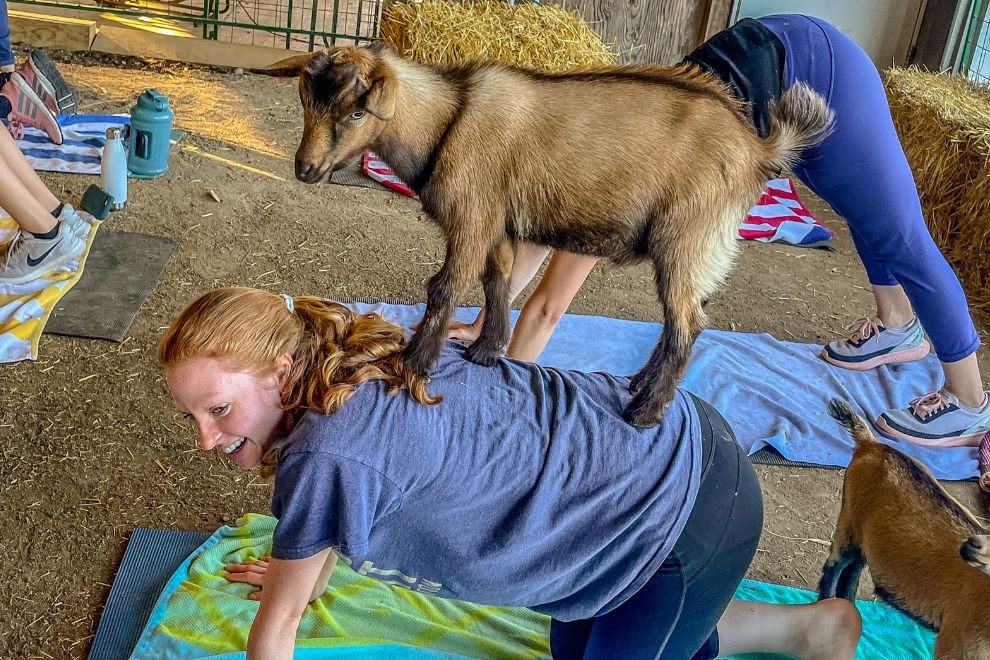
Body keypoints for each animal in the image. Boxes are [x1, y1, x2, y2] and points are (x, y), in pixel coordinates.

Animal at [258, 43, 833, 427]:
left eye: (357, 111)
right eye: (307, 102)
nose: (306, 169)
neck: (447, 119)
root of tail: (757, 150)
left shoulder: (472, 216)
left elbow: (445, 286)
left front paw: (413, 362)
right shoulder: (497, 224)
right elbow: (498, 282)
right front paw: (486, 351)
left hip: (687, 238)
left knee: (687, 323)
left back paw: (645, 411)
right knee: (680, 323)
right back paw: (639, 386)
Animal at [822, 399, 990, 659]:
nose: (971, 546)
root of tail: (871, 444)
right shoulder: (956, 642)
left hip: (865, 535)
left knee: (852, 571)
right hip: (850, 518)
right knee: (835, 565)